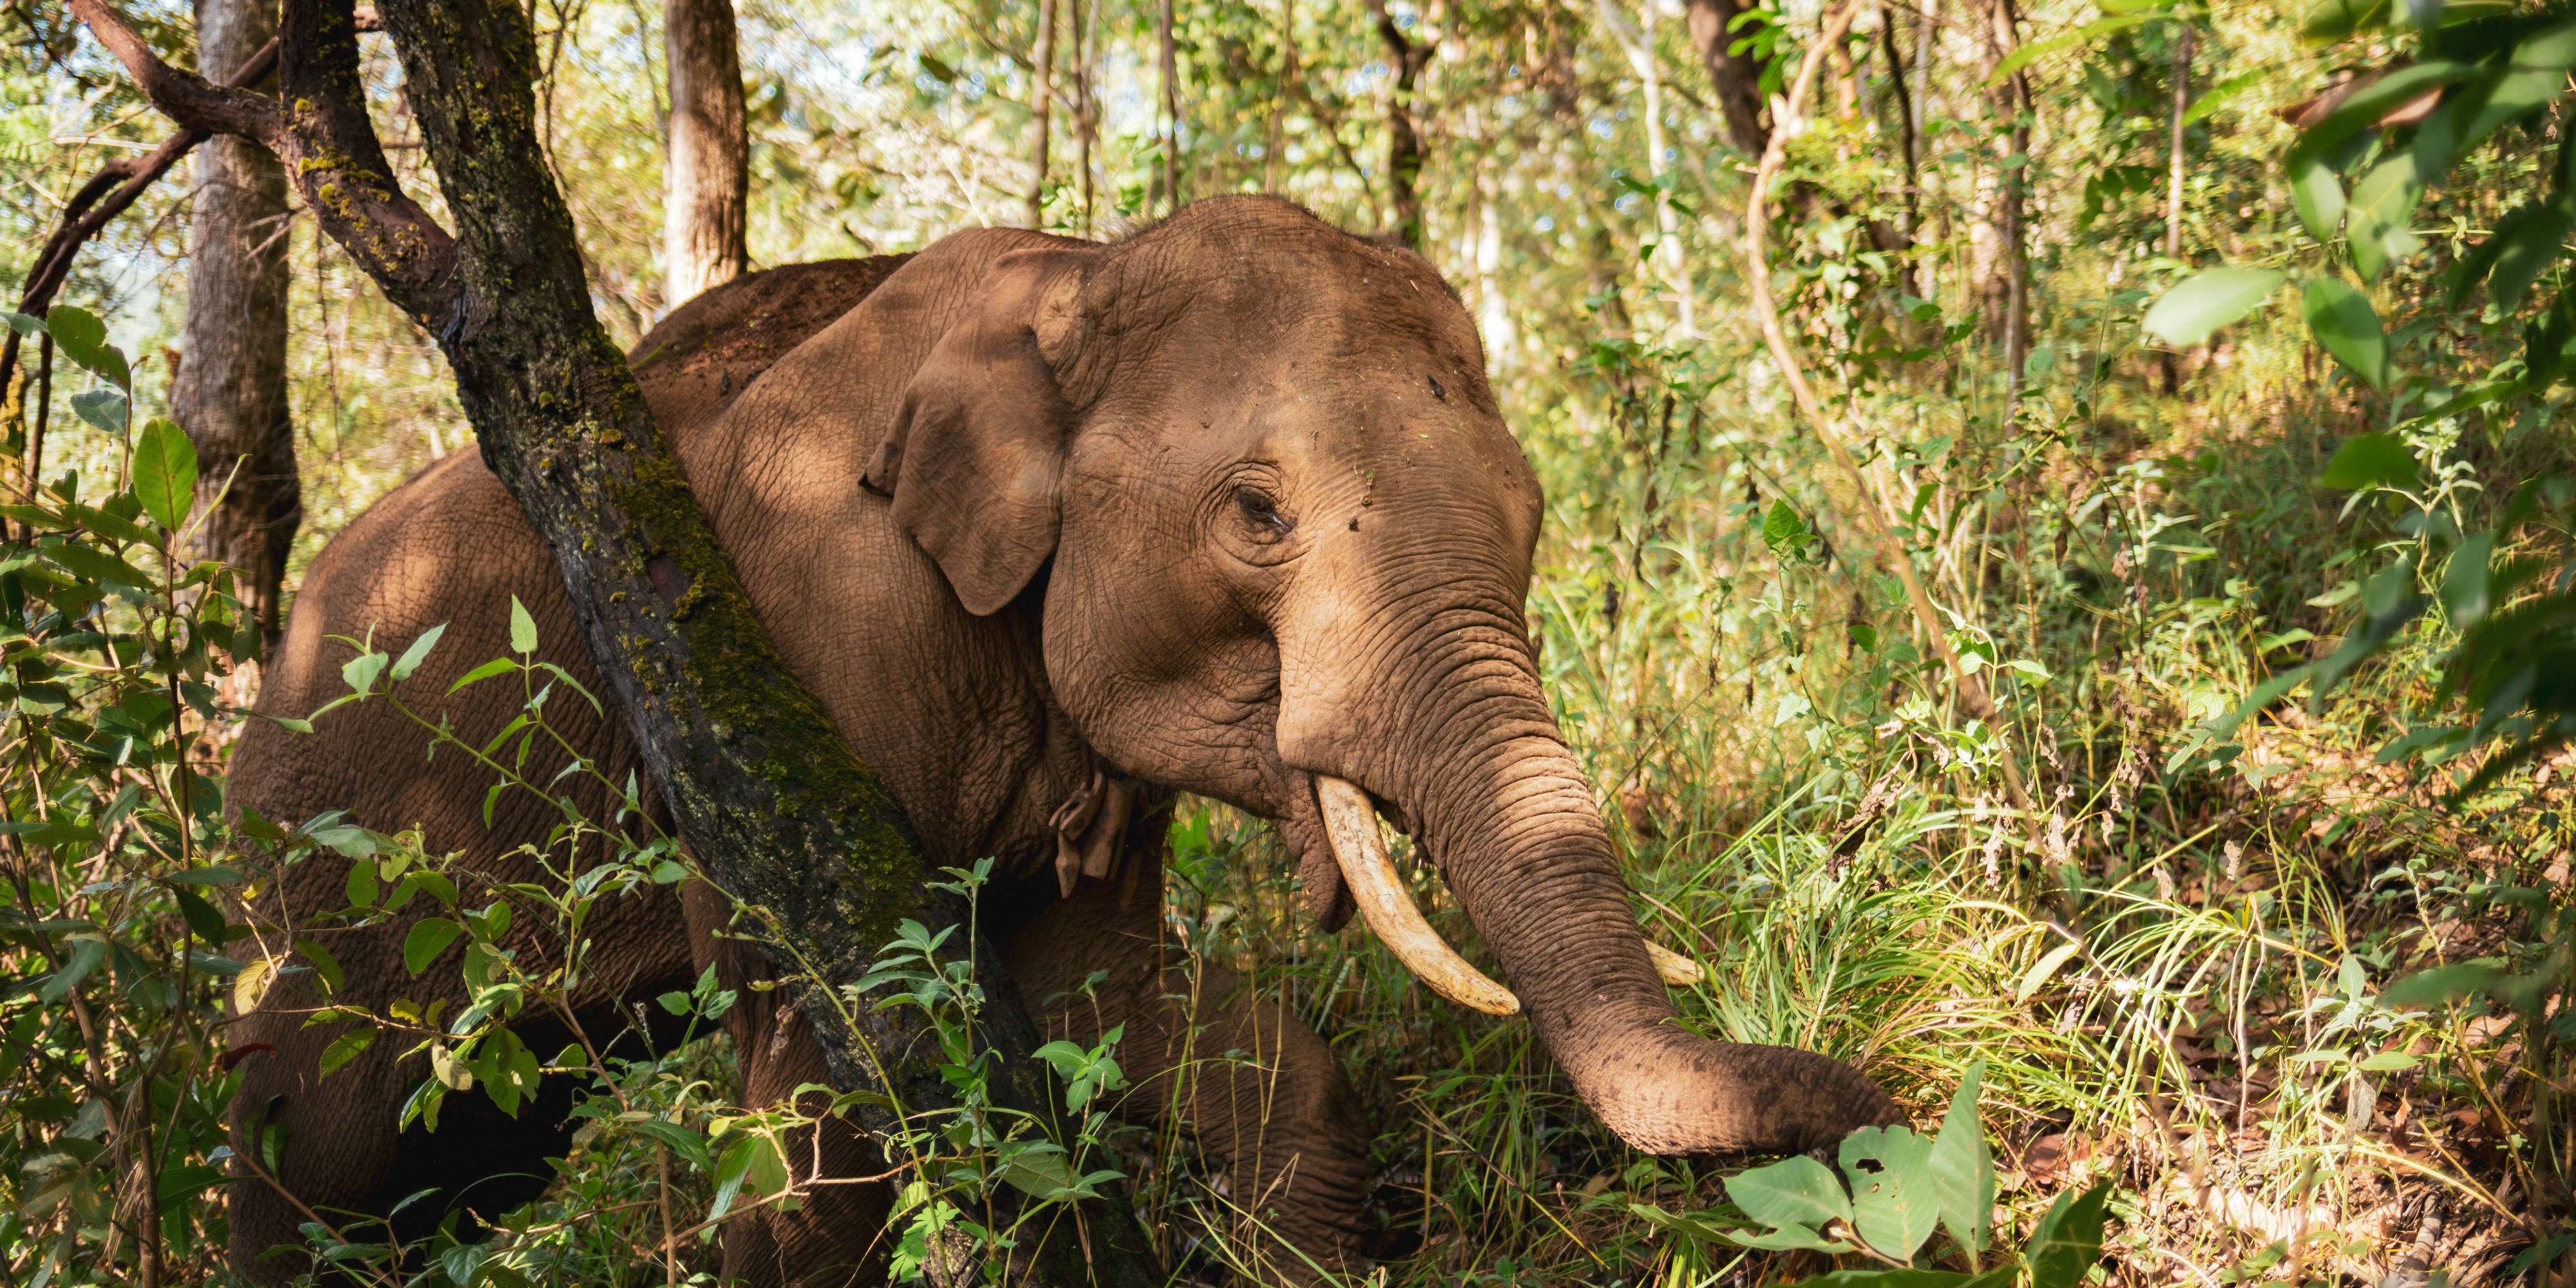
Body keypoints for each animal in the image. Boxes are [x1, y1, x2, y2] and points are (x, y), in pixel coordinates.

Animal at [227, 193, 1917, 1288]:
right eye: (1257, 512)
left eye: (1531, 514)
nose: (1893, 1119)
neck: (1072, 271)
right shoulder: (777, 647)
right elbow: (821, 1070)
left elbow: (1107, 996)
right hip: (325, 898)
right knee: (308, 1146)